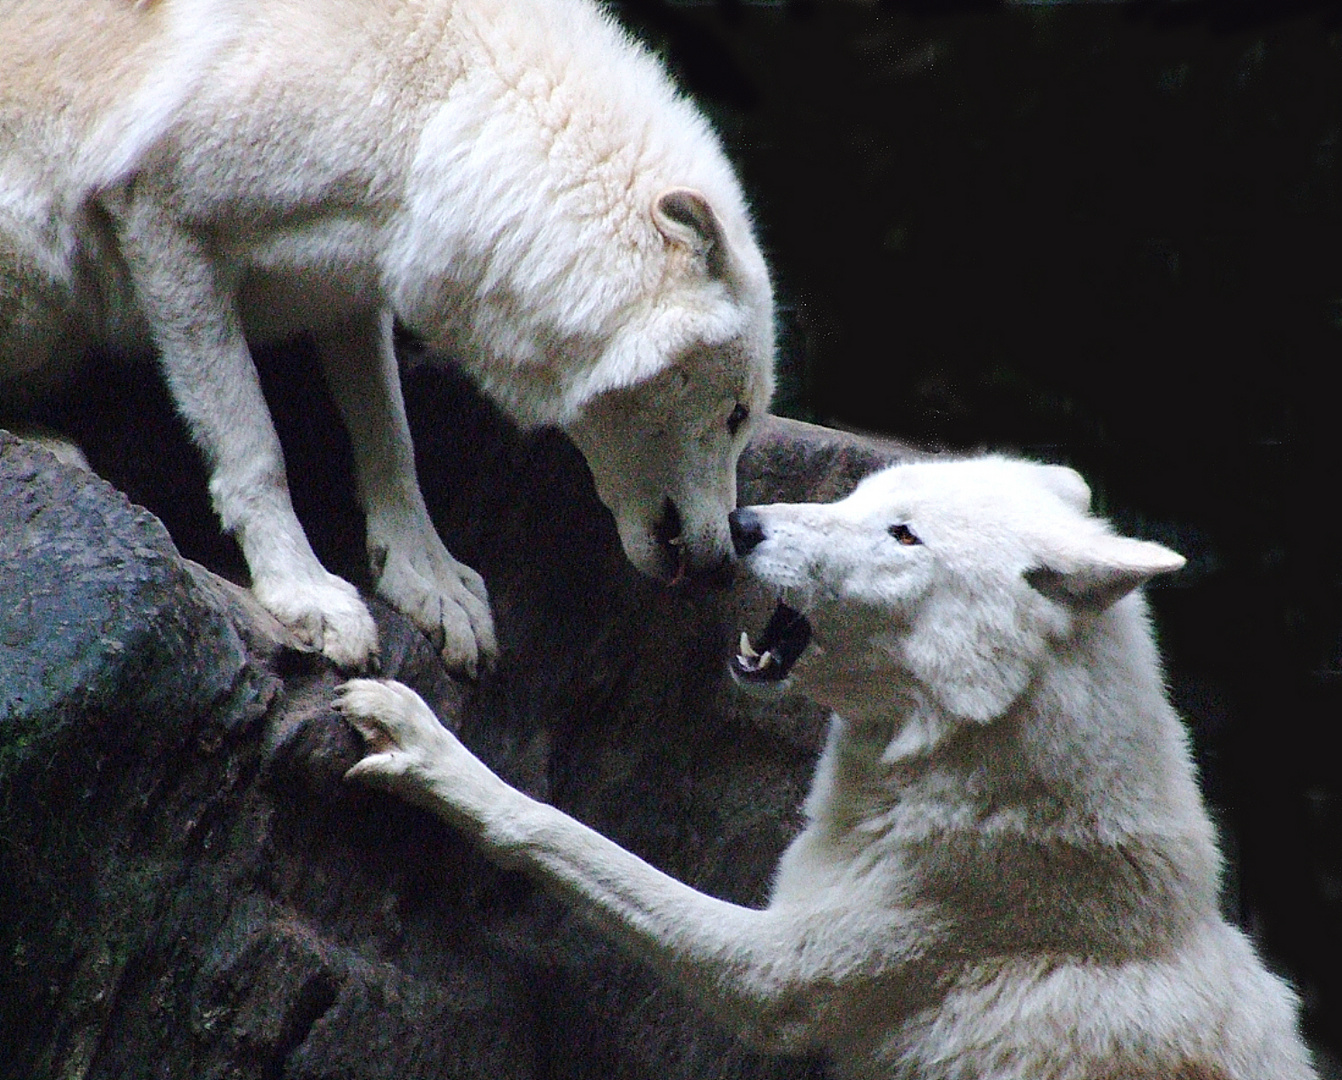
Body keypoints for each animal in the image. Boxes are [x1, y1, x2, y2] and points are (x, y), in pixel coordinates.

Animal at [0, 0, 778, 673]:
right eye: (736, 414)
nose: (722, 567)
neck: (433, 109)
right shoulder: (162, 221)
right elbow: (255, 448)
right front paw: (306, 593)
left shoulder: (351, 278)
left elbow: (392, 440)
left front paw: (427, 579)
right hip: (44, 261)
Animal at [338, 456, 1320, 1078]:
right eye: (858, 497)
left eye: (903, 536)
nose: (741, 523)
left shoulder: (774, 975)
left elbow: (561, 830)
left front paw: (425, 748)